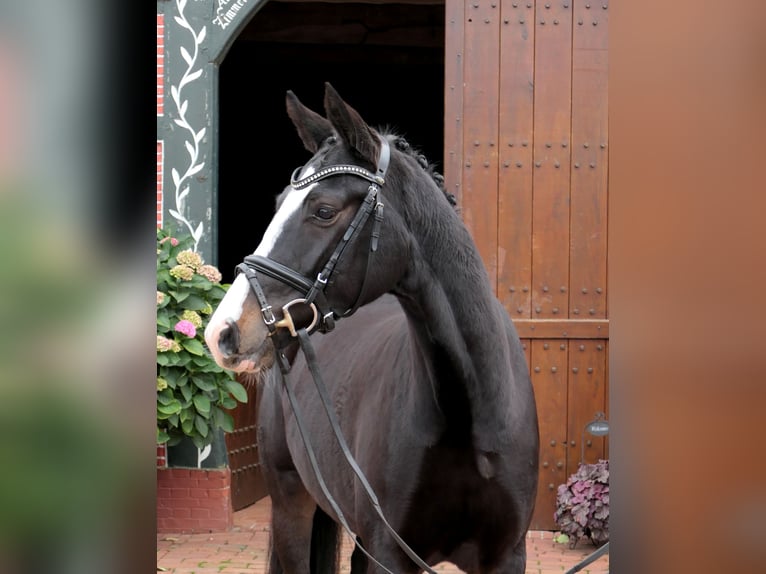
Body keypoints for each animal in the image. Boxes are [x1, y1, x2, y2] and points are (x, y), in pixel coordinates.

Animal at [204, 85, 540, 574]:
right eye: (278, 202)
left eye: (324, 210)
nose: (223, 332)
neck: (469, 410)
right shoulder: (390, 551)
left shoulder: (506, 555)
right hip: (291, 503)